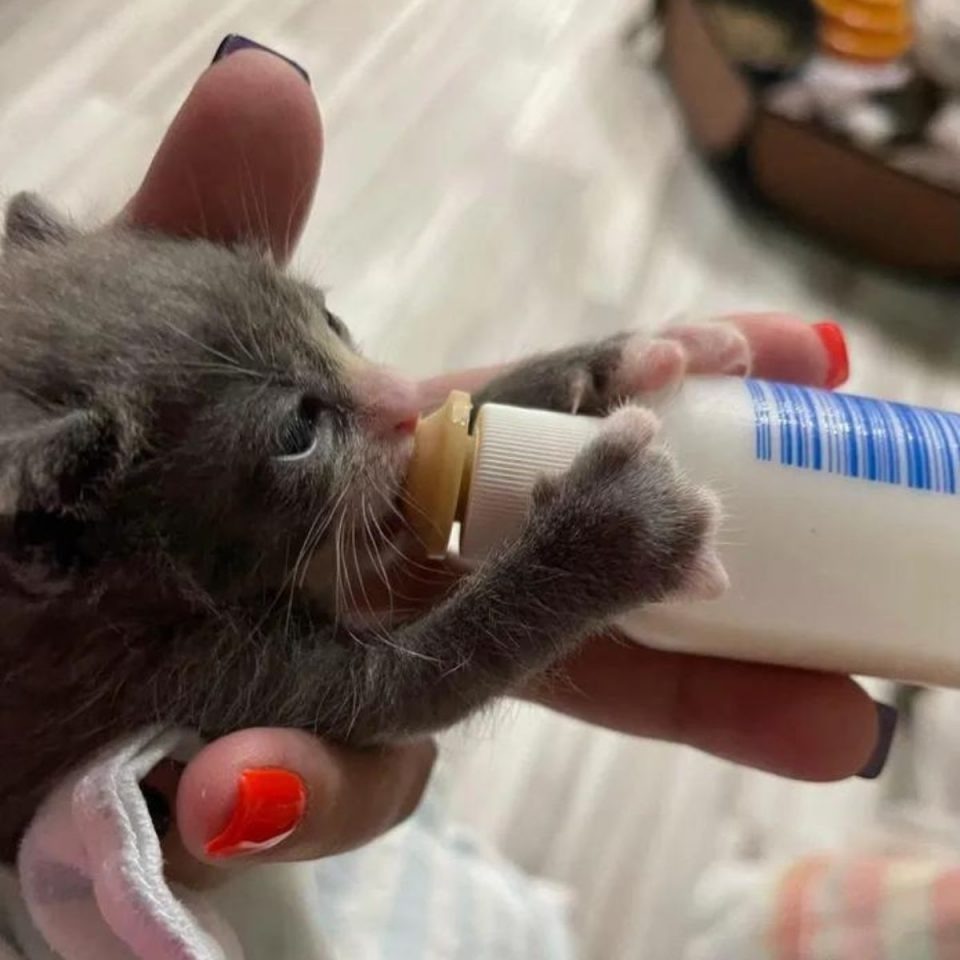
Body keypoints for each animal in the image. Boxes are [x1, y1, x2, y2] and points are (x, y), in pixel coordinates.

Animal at [0, 191, 720, 860]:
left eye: (331, 319)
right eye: (297, 433)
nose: (402, 397)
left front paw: (611, 364)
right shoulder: (171, 674)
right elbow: (408, 688)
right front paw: (615, 525)